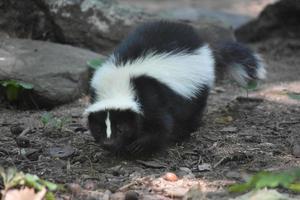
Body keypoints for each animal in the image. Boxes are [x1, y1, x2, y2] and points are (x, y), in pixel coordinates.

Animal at [84, 21, 264, 156]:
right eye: (99, 129)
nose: (108, 143)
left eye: (121, 128)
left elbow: (161, 124)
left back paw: (184, 135)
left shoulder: (152, 93)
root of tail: (204, 43)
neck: (118, 83)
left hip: (197, 87)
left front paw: (140, 145)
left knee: (193, 112)